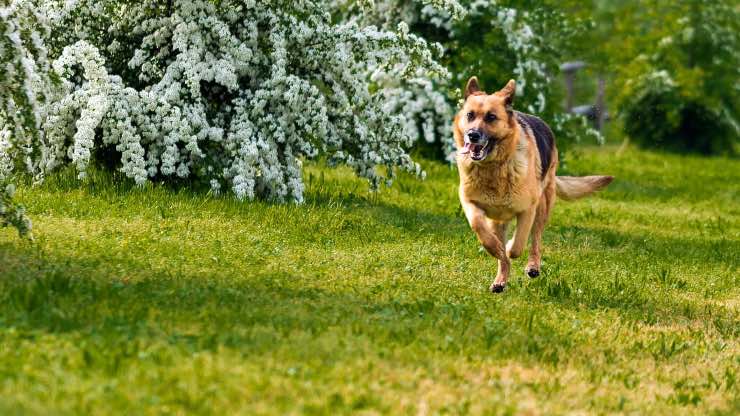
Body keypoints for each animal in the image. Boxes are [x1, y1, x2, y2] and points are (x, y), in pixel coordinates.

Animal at [456, 77, 612, 292]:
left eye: (491, 117)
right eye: (470, 115)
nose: (472, 135)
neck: (494, 168)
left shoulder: (527, 209)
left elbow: (518, 244)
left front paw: (509, 246)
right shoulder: (470, 202)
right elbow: (478, 226)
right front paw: (494, 247)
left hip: (543, 206)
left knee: (535, 240)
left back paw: (532, 266)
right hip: (499, 220)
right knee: (503, 255)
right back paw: (500, 281)